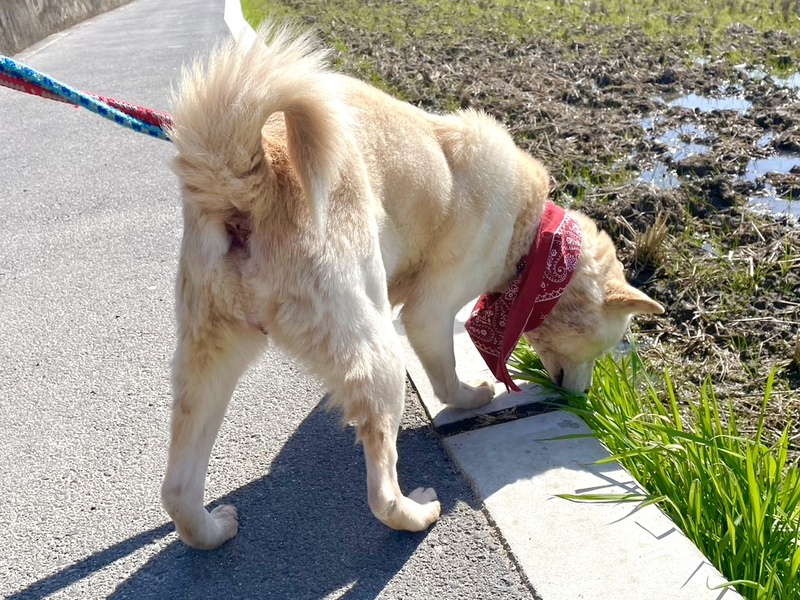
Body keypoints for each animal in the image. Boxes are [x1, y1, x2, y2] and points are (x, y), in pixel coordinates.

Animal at [161, 22, 664, 549]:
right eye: (601, 350)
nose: (582, 400)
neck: (536, 242)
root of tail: (252, 181)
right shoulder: (428, 314)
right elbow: (445, 379)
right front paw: (474, 395)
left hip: (209, 361)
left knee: (176, 490)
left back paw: (213, 530)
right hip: (380, 356)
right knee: (380, 494)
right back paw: (418, 512)